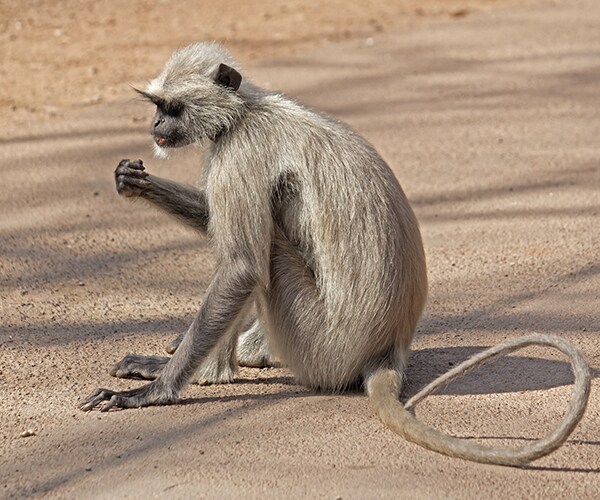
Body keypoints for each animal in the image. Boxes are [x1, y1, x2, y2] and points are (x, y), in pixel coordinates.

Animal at [81, 42, 592, 464]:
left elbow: (242, 267)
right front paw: (135, 182)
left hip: (318, 346)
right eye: (157, 108)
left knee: (262, 252)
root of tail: (390, 346)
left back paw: (215, 371)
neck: (245, 111)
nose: (156, 125)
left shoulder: (242, 150)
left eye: (172, 108)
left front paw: (157, 392)